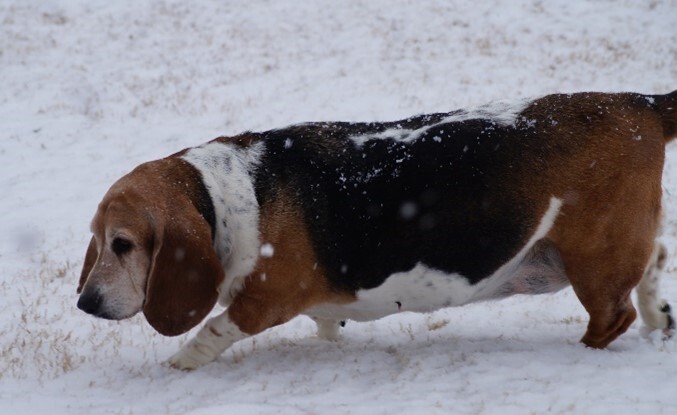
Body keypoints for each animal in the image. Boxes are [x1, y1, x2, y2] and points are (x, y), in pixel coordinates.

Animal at [76, 91, 672, 370]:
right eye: (98, 241)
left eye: (124, 244)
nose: (85, 303)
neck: (225, 196)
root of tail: (639, 103)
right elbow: (327, 326)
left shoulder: (263, 303)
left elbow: (213, 331)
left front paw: (177, 366)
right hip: (618, 246)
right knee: (655, 261)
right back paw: (658, 318)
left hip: (595, 257)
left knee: (612, 317)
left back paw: (588, 350)